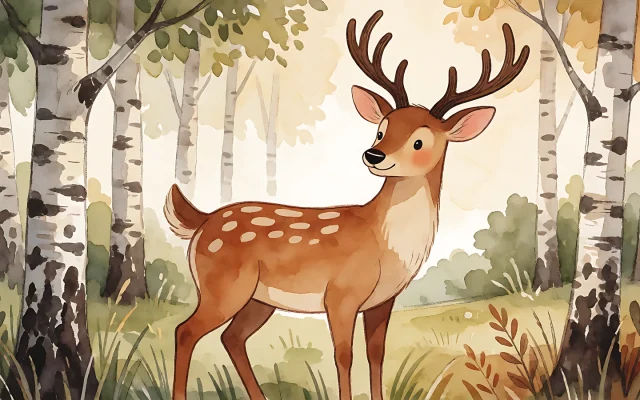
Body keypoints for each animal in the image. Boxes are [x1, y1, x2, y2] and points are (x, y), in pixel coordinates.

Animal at [166, 9, 529, 400]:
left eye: (419, 141)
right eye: (381, 129)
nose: (374, 154)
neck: (385, 244)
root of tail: (201, 221)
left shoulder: (382, 300)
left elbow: (376, 353)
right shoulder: (340, 293)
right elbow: (343, 355)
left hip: (258, 299)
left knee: (231, 337)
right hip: (223, 286)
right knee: (186, 331)